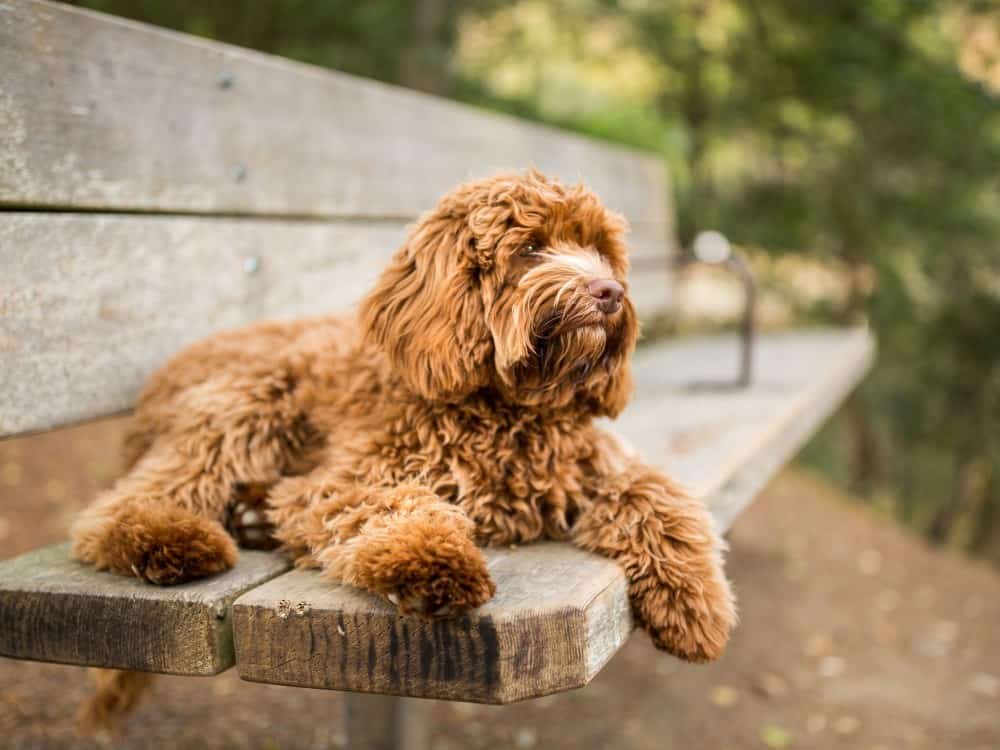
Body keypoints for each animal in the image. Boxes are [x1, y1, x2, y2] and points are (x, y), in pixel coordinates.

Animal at [70, 172, 736, 728]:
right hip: (249, 396)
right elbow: (393, 508)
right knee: (120, 505)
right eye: (530, 248)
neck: (508, 409)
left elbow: (659, 499)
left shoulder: (597, 467)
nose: (610, 291)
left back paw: (252, 516)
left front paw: (696, 603)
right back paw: (170, 539)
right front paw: (433, 563)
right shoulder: (347, 478)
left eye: (599, 248)